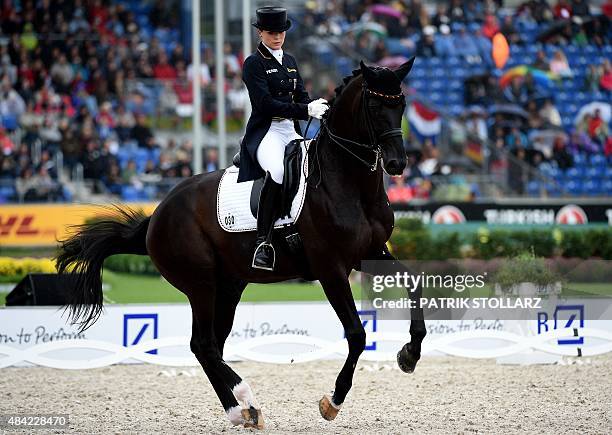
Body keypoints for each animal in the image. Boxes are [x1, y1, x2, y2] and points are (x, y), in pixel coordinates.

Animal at [58, 58, 426, 430]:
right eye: (375, 106)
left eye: (401, 105)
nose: (397, 164)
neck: (348, 182)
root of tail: (158, 213)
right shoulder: (330, 269)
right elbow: (356, 333)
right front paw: (332, 401)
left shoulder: (370, 253)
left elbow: (414, 283)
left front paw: (409, 355)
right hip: (200, 284)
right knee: (203, 344)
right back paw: (245, 400)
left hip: (229, 286)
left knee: (211, 346)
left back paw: (243, 410)